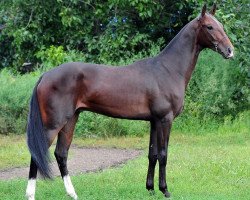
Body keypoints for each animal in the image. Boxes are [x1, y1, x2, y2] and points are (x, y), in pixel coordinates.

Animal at [25, 3, 234, 199]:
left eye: (221, 26)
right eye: (209, 27)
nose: (230, 51)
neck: (168, 70)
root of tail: (45, 76)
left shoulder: (154, 121)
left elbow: (152, 154)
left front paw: (150, 189)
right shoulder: (165, 119)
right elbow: (164, 154)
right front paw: (165, 190)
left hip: (70, 120)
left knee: (61, 154)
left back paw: (72, 194)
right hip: (53, 124)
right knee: (37, 154)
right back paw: (31, 195)